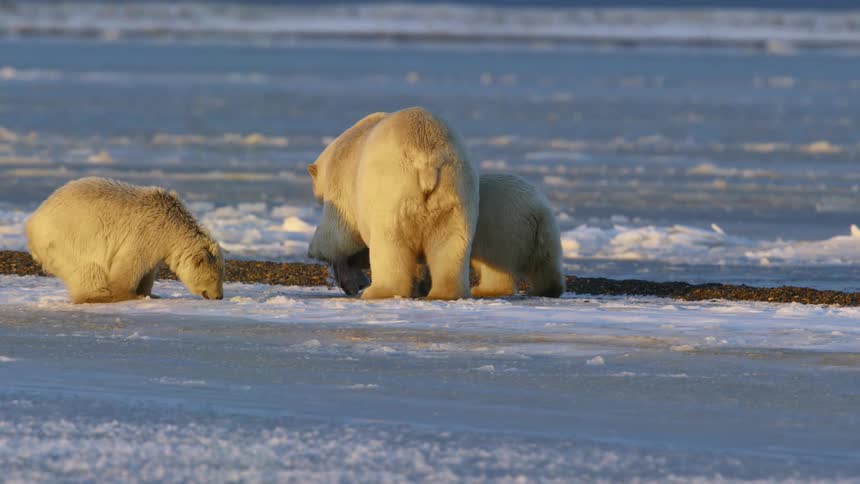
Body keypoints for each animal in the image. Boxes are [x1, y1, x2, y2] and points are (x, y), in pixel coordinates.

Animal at [25, 177, 225, 304]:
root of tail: (33, 222)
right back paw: (99, 295)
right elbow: (130, 265)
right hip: (70, 239)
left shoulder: (159, 244)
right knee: (88, 269)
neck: (173, 224)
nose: (219, 296)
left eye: (221, 276)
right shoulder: (147, 233)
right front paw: (131, 295)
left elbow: (149, 271)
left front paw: (149, 294)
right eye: (215, 277)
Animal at [307, 107, 479, 300]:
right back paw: (444, 293)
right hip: (455, 192)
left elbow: (339, 234)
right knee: (450, 242)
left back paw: (377, 291)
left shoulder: (341, 183)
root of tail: (425, 157)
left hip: (391, 192)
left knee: (388, 243)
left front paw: (315, 250)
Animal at [335, 174, 566, 298]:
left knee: (498, 266)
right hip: (543, 234)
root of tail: (537, 210)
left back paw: (484, 289)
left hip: (501, 228)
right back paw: (546, 289)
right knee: (546, 264)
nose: (349, 260)